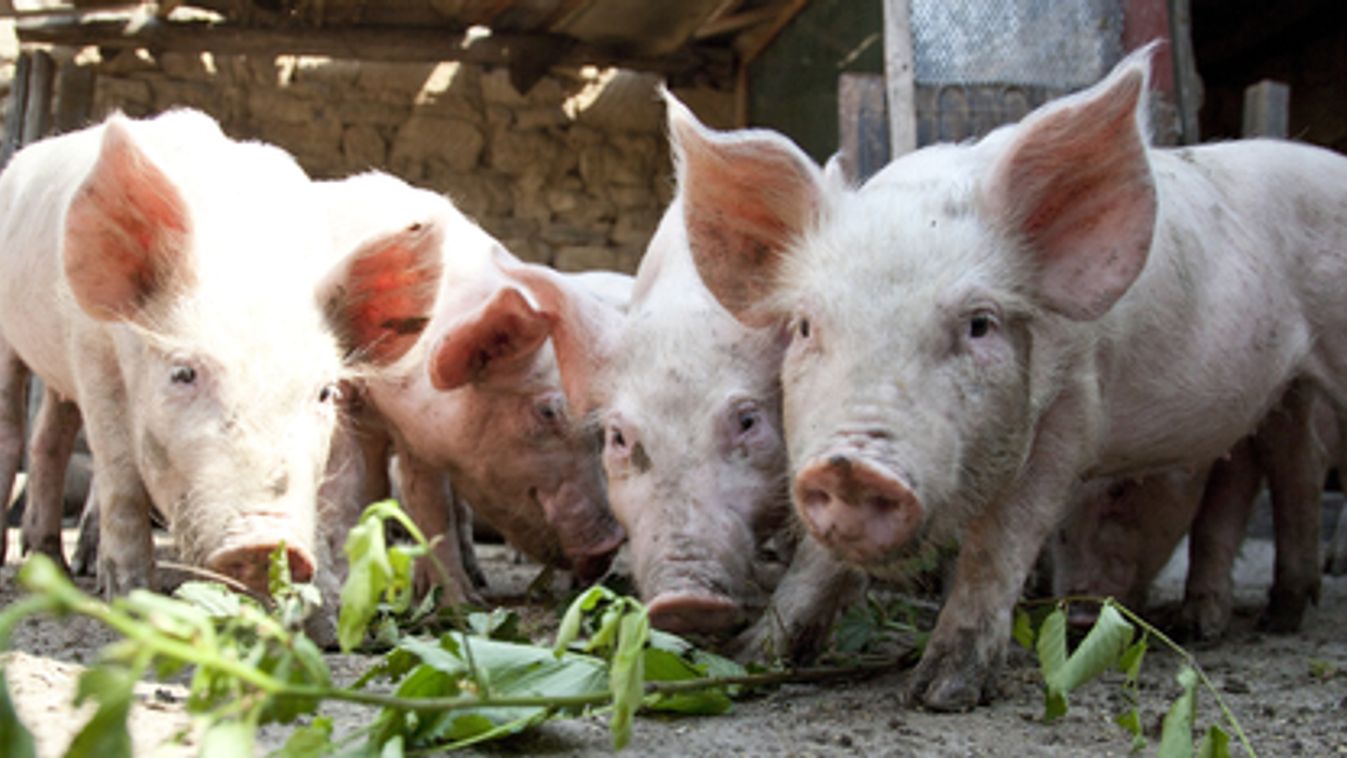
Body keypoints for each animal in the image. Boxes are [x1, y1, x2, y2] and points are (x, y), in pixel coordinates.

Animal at [0, 111, 441, 600]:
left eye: (325, 392)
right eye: (183, 373)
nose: (265, 541)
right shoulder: (91, 346)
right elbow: (119, 471)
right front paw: (132, 596)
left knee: (50, 437)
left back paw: (56, 562)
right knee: (14, 430)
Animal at [312, 173, 627, 605]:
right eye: (547, 412)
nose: (609, 545)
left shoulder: (421, 428)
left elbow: (431, 503)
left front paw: (459, 601)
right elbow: (352, 488)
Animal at [678, 48, 1347, 710]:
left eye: (980, 324)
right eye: (805, 326)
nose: (852, 468)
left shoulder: (1076, 402)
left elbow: (1003, 538)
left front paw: (941, 693)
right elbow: (817, 562)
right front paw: (749, 659)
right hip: (1282, 396)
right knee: (1289, 469)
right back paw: (1262, 618)